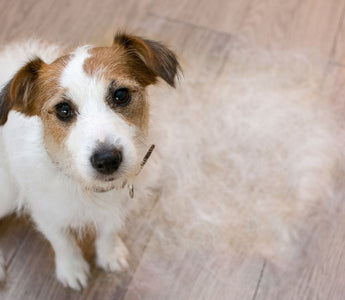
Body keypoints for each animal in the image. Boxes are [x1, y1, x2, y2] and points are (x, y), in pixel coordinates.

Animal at [0, 33, 180, 290]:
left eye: (121, 95)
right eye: (63, 109)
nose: (107, 160)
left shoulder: (118, 205)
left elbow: (109, 230)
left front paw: (110, 253)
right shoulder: (45, 211)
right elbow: (61, 240)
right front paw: (72, 268)